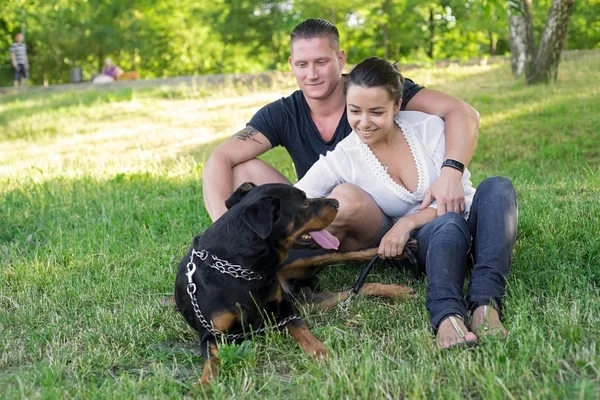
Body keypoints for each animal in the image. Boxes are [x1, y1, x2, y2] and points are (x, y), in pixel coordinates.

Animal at [176, 183, 414, 386]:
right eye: (305, 203)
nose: (336, 202)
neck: (244, 270)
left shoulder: (286, 309)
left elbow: (303, 331)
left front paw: (320, 352)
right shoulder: (209, 334)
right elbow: (212, 360)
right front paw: (205, 383)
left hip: (305, 259)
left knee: (348, 254)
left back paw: (398, 252)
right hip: (312, 299)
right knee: (359, 288)